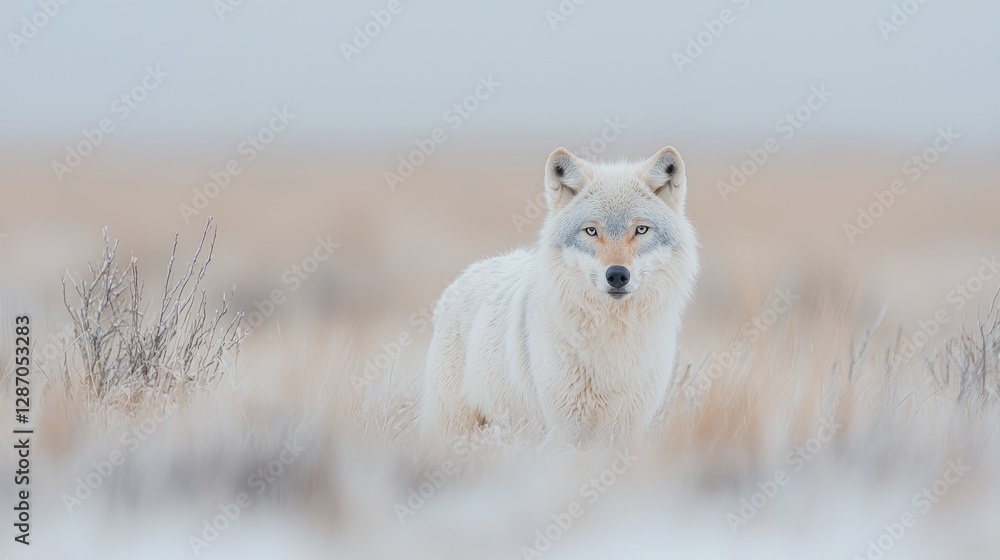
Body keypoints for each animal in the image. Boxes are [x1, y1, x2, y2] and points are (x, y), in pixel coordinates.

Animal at [420, 146, 700, 447]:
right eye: (591, 230)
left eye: (641, 229)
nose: (616, 275)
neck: (612, 336)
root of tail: (463, 276)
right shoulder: (566, 428)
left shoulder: (628, 427)